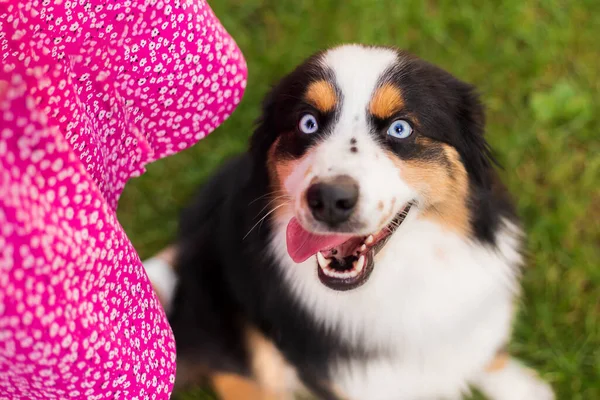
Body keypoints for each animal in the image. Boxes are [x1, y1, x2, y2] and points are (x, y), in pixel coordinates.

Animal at [143, 44, 556, 400]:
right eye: (307, 123)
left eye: (400, 128)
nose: (328, 200)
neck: (396, 282)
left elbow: (484, 350)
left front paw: (520, 386)